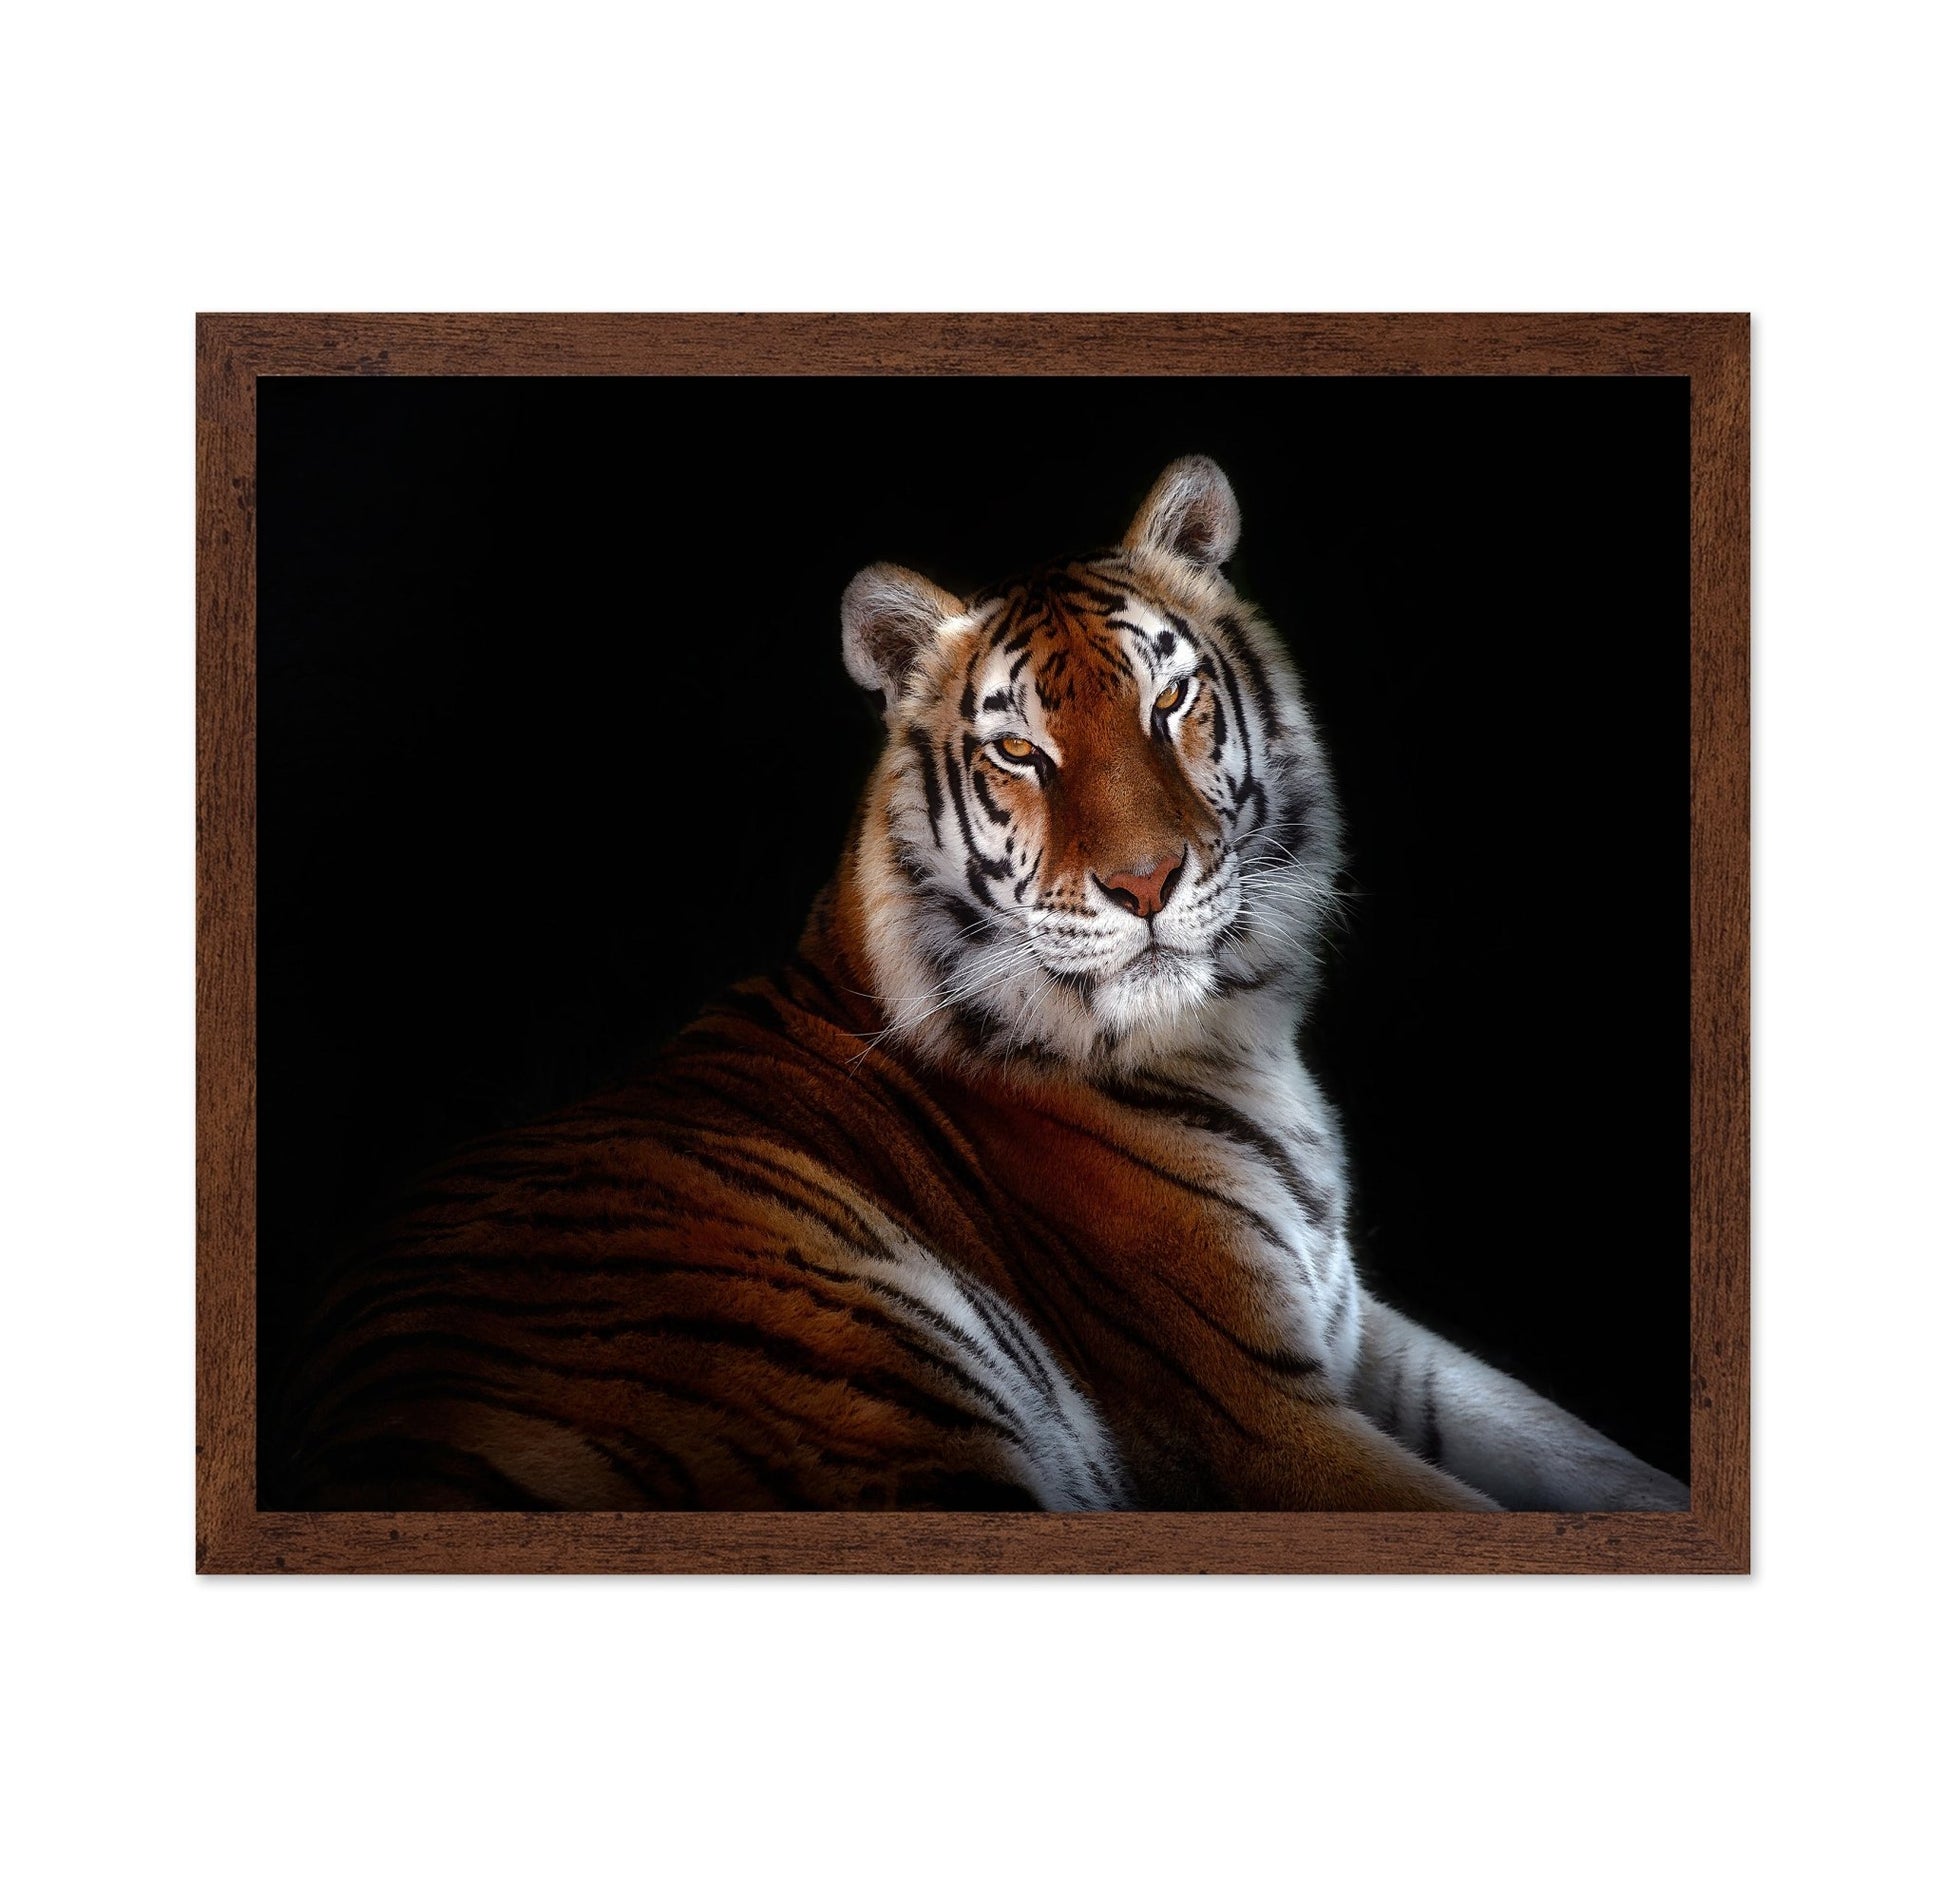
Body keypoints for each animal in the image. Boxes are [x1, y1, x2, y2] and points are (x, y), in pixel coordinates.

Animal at [279, 456, 1688, 1514]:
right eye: (1020, 751)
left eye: (1170, 700)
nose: (1145, 882)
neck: (1235, 1032)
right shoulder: (1252, 1416)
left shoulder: (1356, 1328)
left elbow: (1575, 1451)